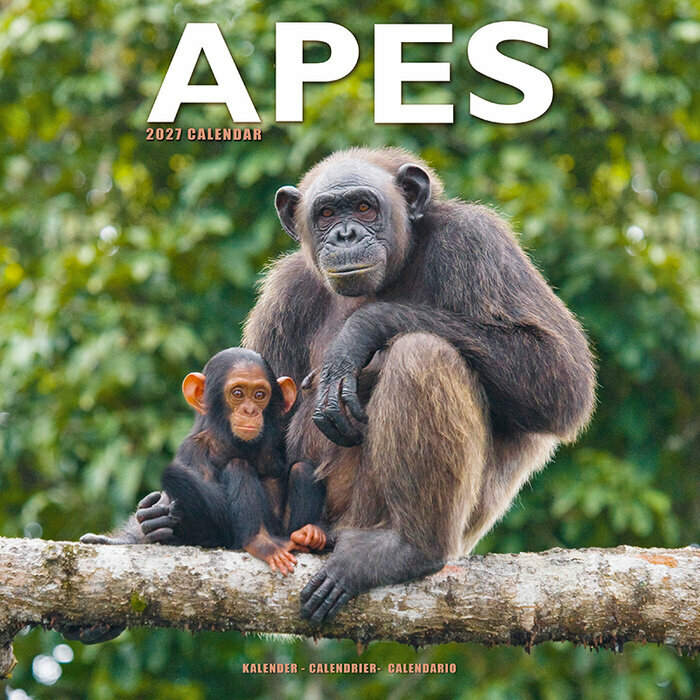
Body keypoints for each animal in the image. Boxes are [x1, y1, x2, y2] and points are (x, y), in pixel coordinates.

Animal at [80, 348, 328, 573]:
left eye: (260, 395)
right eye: (238, 393)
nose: (249, 410)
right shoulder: (192, 451)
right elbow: (209, 516)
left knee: (302, 468)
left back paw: (308, 535)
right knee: (238, 466)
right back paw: (261, 542)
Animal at [242, 147, 596, 623]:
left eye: (364, 207)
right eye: (327, 213)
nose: (346, 235)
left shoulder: (477, 241)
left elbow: (561, 374)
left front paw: (359, 332)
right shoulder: (284, 295)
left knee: (422, 354)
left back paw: (408, 549)